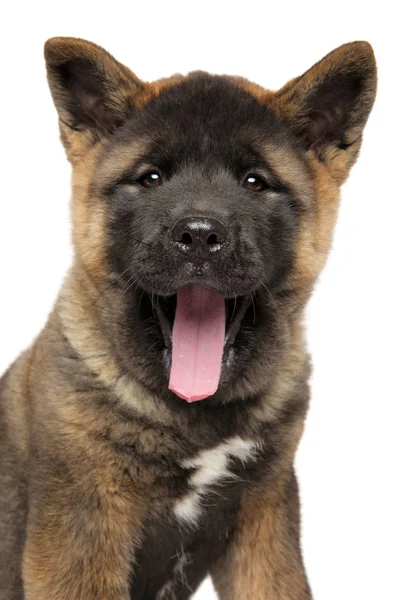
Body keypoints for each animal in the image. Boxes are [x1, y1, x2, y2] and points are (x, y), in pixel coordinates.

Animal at [0, 38, 376, 600]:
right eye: (151, 177)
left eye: (254, 182)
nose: (199, 235)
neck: (195, 415)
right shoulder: (82, 530)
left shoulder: (264, 519)